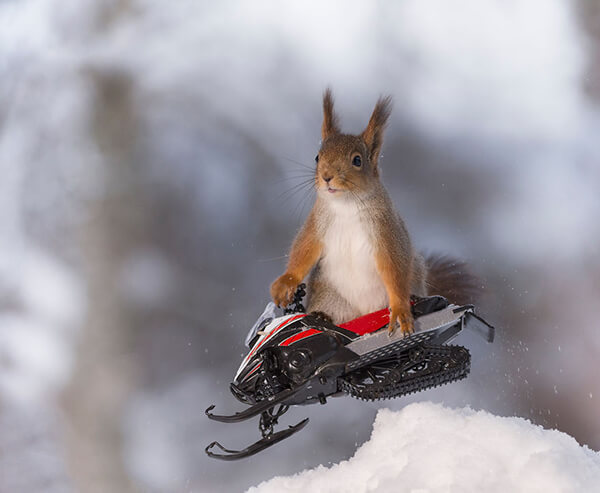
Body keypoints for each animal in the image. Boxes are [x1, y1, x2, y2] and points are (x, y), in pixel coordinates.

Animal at [270, 88, 476, 334]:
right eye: (317, 157)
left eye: (357, 160)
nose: (327, 176)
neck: (347, 204)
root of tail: (364, 313)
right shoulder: (318, 221)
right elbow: (304, 248)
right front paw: (285, 283)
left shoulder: (385, 227)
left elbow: (394, 266)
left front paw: (400, 308)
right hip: (332, 299)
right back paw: (321, 317)